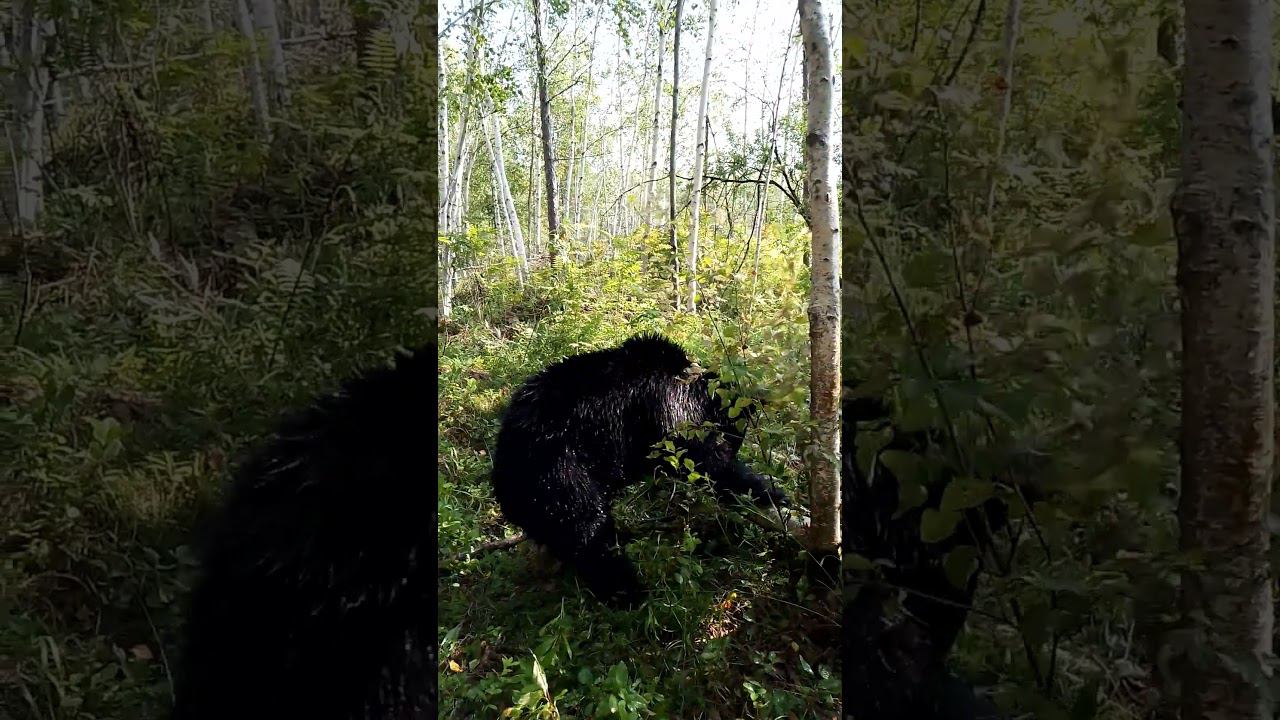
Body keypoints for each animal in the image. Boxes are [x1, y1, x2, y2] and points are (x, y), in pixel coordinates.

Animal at [489, 333, 791, 607]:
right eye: (735, 435)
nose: (735, 445)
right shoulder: (666, 402)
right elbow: (696, 454)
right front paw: (768, 490)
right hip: (561, 472)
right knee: (588, 528)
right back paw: (627, 590)